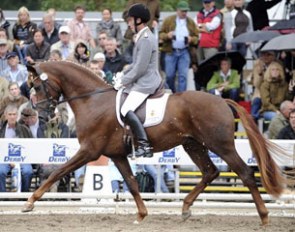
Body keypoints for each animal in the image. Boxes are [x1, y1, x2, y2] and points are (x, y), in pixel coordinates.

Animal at [23, 61, 284, 225]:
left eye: (36, 86)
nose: (43, 116)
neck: (92, 100)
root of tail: (222, 101)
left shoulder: (89, 151)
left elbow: (57, 171)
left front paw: (30, 202)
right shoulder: (116, 154)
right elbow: (132, 183)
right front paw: (141, 215)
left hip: (221, 145)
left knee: (245, 173)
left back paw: (264, 216)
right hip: (193, 145)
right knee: (210, 172)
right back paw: (185, 208)